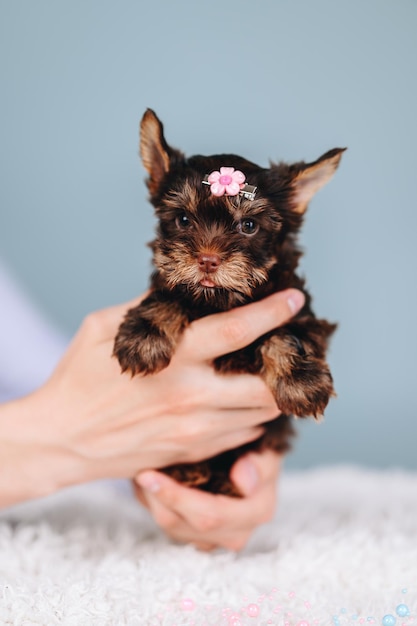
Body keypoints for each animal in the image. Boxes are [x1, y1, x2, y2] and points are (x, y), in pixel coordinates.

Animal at [112, 109, 342, 494]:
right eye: (183, 219)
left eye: (248, 226)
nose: (207, 260)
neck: (220, 301)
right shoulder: (177, 285)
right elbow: (168, 296)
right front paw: (143, 335)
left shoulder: (299, 308)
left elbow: (287, 333)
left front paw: (302, 381)